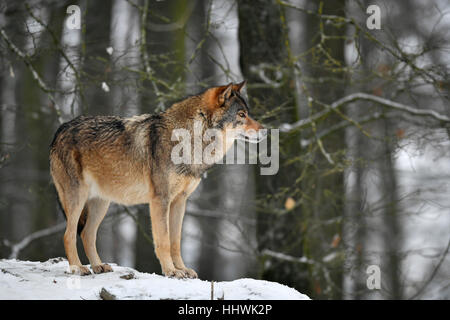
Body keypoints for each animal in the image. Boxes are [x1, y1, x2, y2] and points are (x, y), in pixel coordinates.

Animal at [50, 81, 264, 278]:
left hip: (101, 203)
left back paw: (98, 266)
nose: (265, 130)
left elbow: (175, 241)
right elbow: (163, 240)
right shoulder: (160, 200)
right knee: (68, 235)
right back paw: (78, 268)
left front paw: (182, 269)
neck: (190, 139)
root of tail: (60, 129)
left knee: (87, 234)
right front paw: (171, 271)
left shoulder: (180, 201)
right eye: (241, 115)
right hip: (77, 198)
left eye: (248, 113)